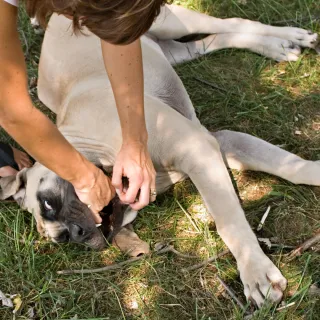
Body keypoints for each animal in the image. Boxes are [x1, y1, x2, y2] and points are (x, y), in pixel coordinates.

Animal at [1, 3, 318, 308]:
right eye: (63, 238)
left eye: (48, 202)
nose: (77, 234)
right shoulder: (221, 142)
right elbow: (291, 166)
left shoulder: (198, 148)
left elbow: (229, 221)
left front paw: (255, 272)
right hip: (170, 50)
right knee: (212, 40)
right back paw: (277, 46)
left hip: (168, 22)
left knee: (231, 22)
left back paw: (291, 36)